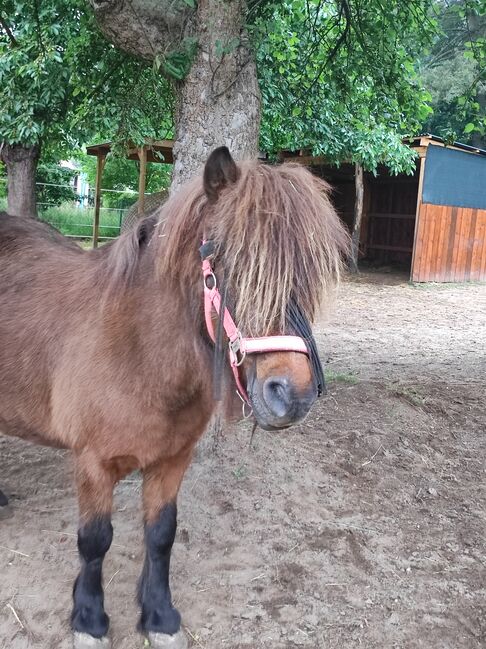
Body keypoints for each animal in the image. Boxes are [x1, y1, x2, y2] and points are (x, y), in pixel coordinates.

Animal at [0, 148, 350, 648]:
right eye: (223, 260)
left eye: (308, 271)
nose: (291, 395)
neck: (138, 353)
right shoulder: (91, 462)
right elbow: (95, 540)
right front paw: (89, 618)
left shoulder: (172, 459)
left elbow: (161, 534)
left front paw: (159, 615)